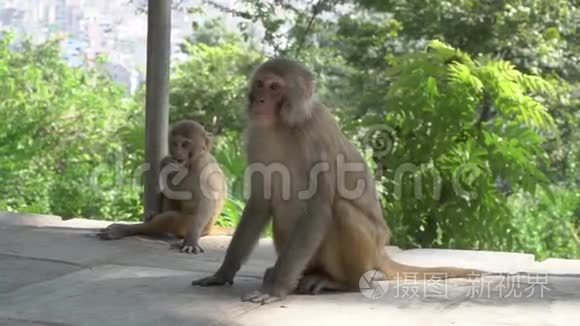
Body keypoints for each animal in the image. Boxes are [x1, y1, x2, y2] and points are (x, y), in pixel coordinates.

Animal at [97, 120, 227, 255]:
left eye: (185, 144)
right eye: (175, 144)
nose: (177, 152)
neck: (192, 163)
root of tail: (210, 230)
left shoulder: (205, 171)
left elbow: (203, 209)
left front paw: (191, 240)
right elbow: (171, 186)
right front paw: (166, 163)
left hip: (188, 226)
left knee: (171, 218)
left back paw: (125, 229)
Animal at [191, 58, 484, 304]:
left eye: (275, 87)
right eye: (261, 84)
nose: (260, 100)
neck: (284, 126)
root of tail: (381, 253)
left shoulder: (316, 135)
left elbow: (318, 210)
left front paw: (275, 290)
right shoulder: (257, 136)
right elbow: (260, 204)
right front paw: (223, 273)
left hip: (367, 253)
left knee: (341, 211)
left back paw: (341, 282)